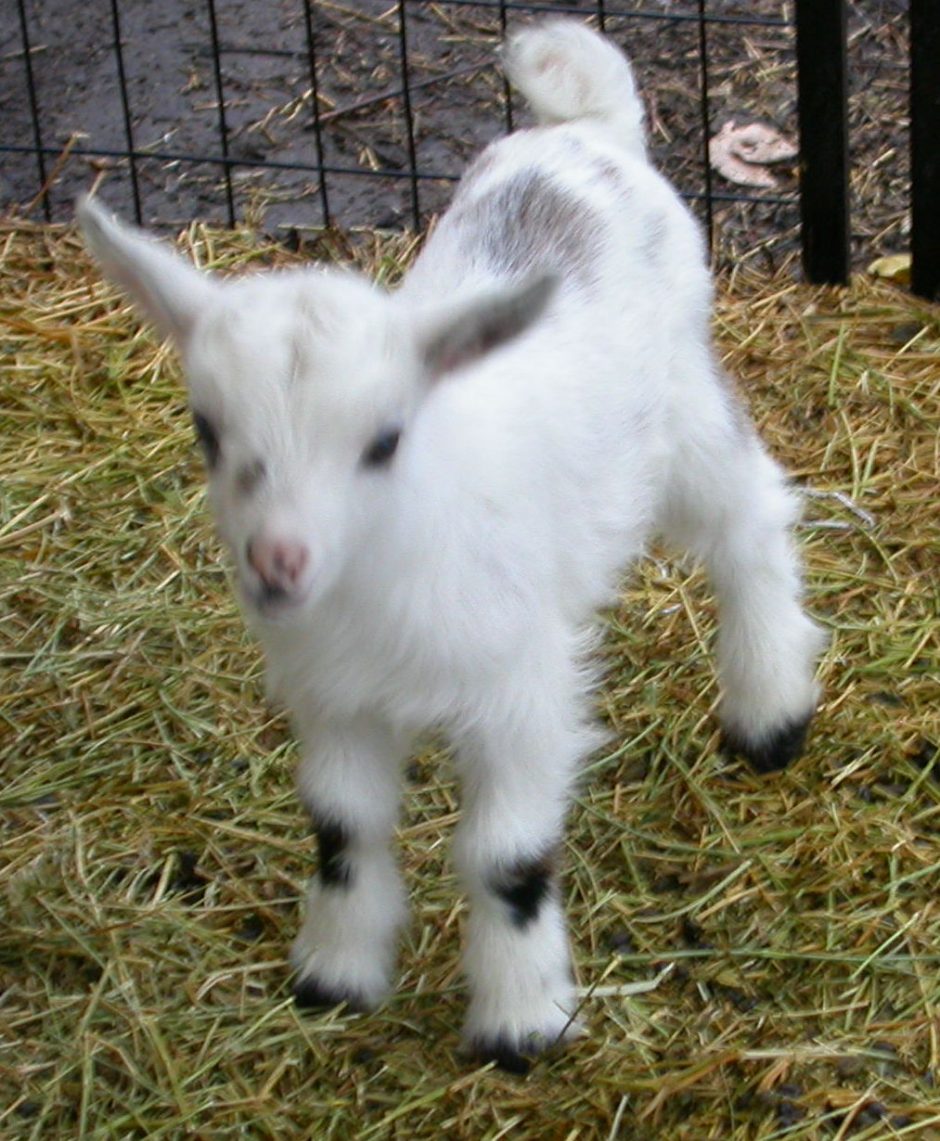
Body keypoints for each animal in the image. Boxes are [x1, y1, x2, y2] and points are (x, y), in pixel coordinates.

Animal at [78, 19, 824, 1073]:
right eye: (207, 431)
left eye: (386, 439)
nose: (279, 565)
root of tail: (585, 131)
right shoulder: (333, 697)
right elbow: (343, 825)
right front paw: (334, 976)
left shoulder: (520, 695)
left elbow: (505, 857)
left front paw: (522, 1021)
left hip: (681, 407)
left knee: (748, 519)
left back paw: (769, 709)